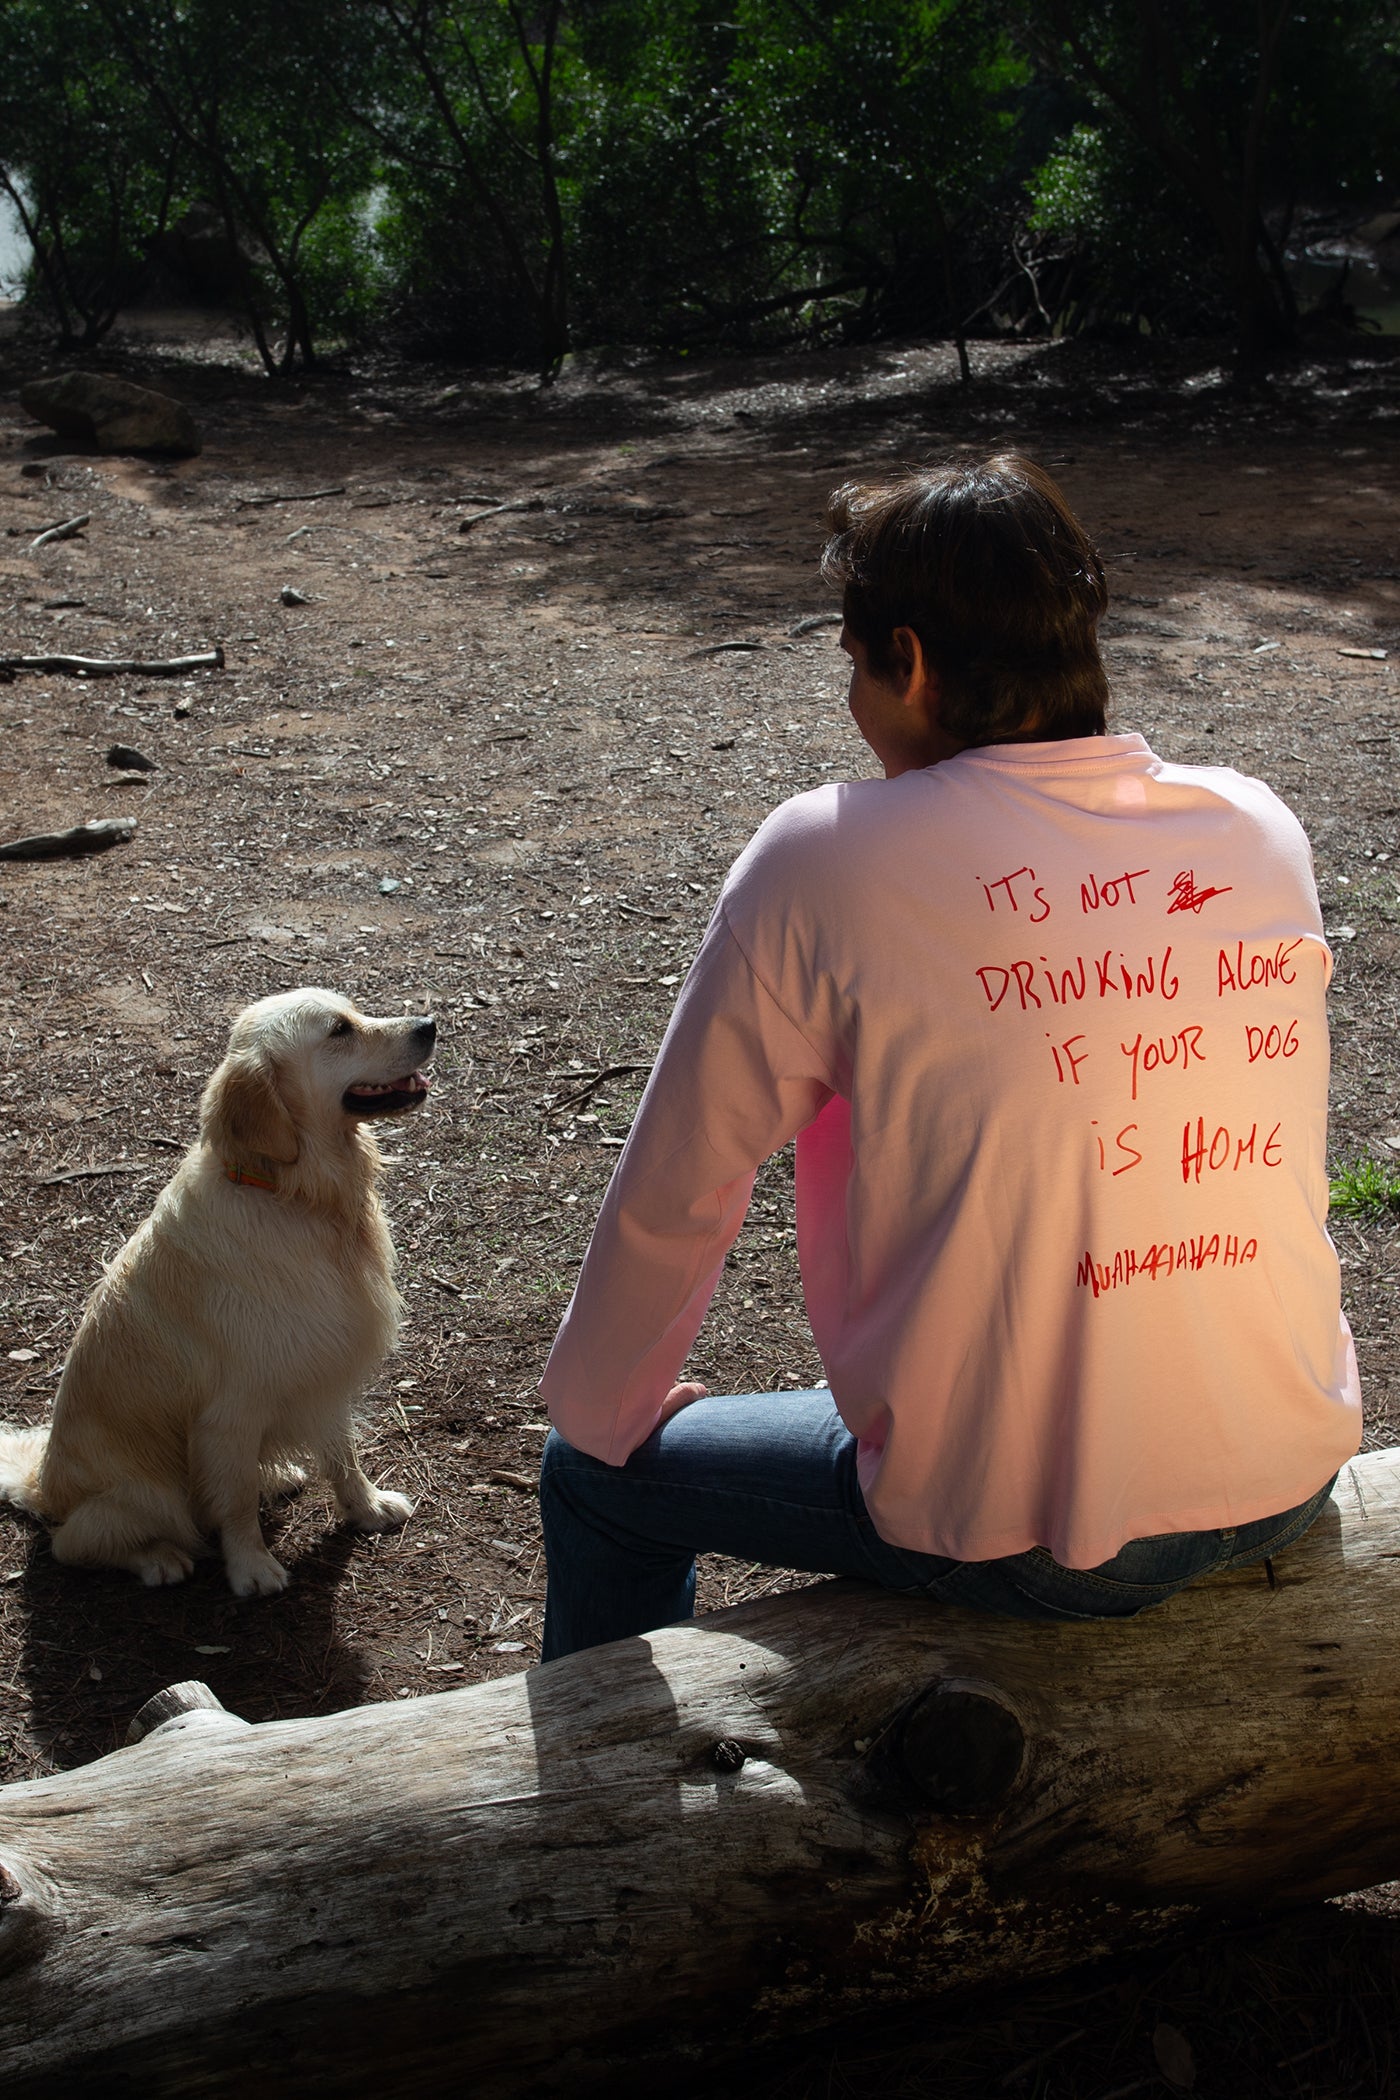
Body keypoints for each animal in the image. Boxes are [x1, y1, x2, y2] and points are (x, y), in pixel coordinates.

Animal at [0, 982, 432, 1587]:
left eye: (354, 1011)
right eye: (339, 1030)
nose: (429, 1025)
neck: (294, 1196)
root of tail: (43, 1487)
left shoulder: (323, 1366)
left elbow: (341, 1455)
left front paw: (366, 1507)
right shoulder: (231, 1407)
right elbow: (235, 1503)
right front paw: (252, 1567)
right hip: (148, 1495)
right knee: (78, 1541)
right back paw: (158, 1559)